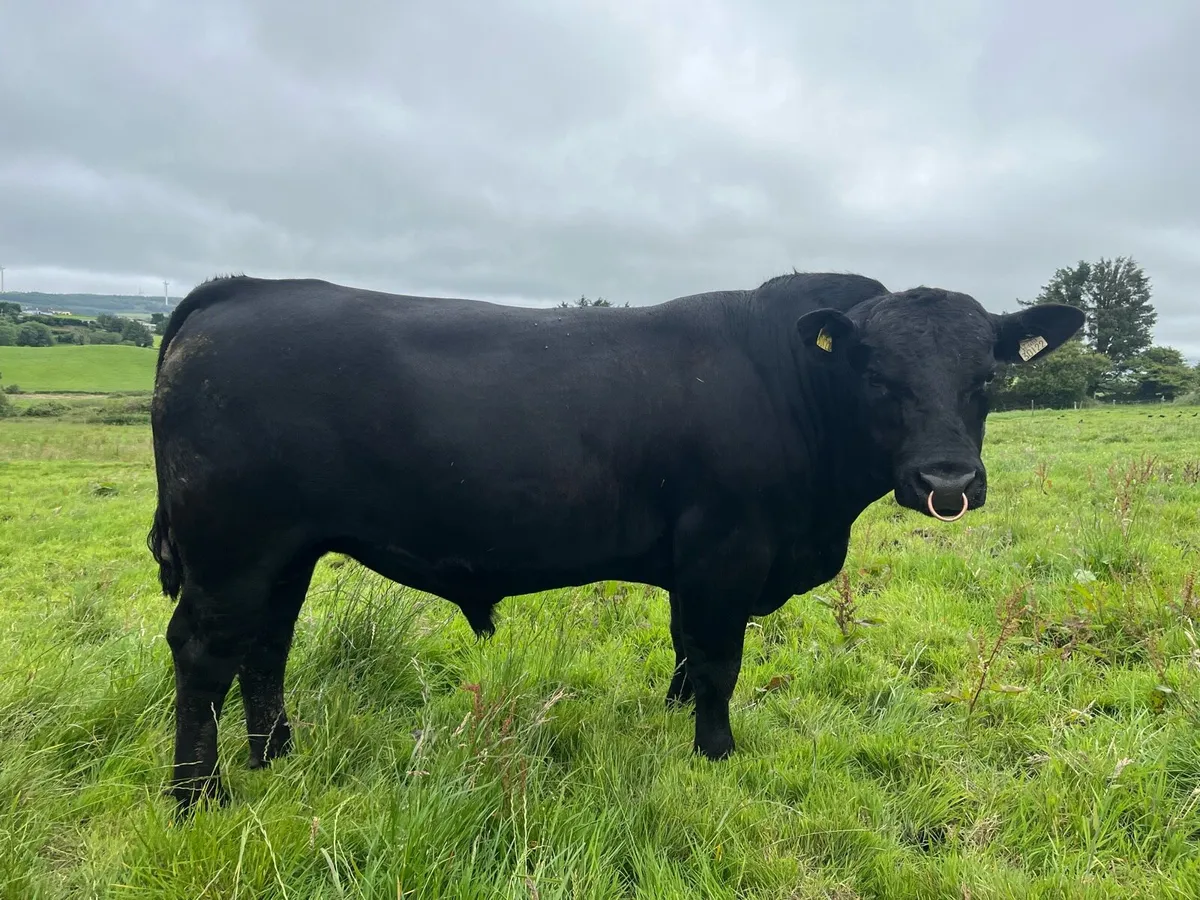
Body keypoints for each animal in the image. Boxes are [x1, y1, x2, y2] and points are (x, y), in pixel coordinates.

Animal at [147, 271, 1083, 814]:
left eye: (986, 377)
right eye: (876, 374)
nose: (947, 481)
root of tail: (242, 290)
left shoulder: (693, 567)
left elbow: (685, 651)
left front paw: (674, 723)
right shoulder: (726, 553)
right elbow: (718, 660)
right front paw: (716, 752)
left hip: (285, 552)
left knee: (267, 645)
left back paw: (276, 753)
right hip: (231, 548)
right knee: (204, 653)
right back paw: (200, 795)